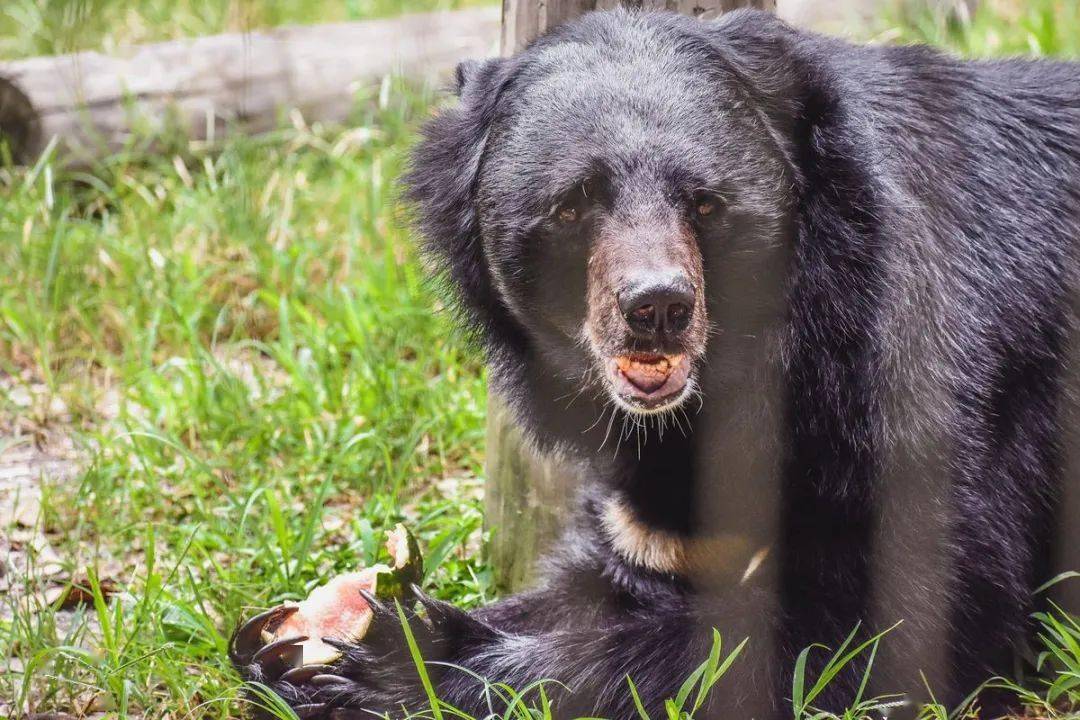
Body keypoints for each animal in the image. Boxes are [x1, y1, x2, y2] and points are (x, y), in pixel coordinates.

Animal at [230, 7, 1080, 720]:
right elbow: (613, 573)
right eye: (571, 205)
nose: (657, 308)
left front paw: (396, 664)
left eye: (706, 202)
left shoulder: (925, 379)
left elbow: (902, 622)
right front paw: (282, 637)